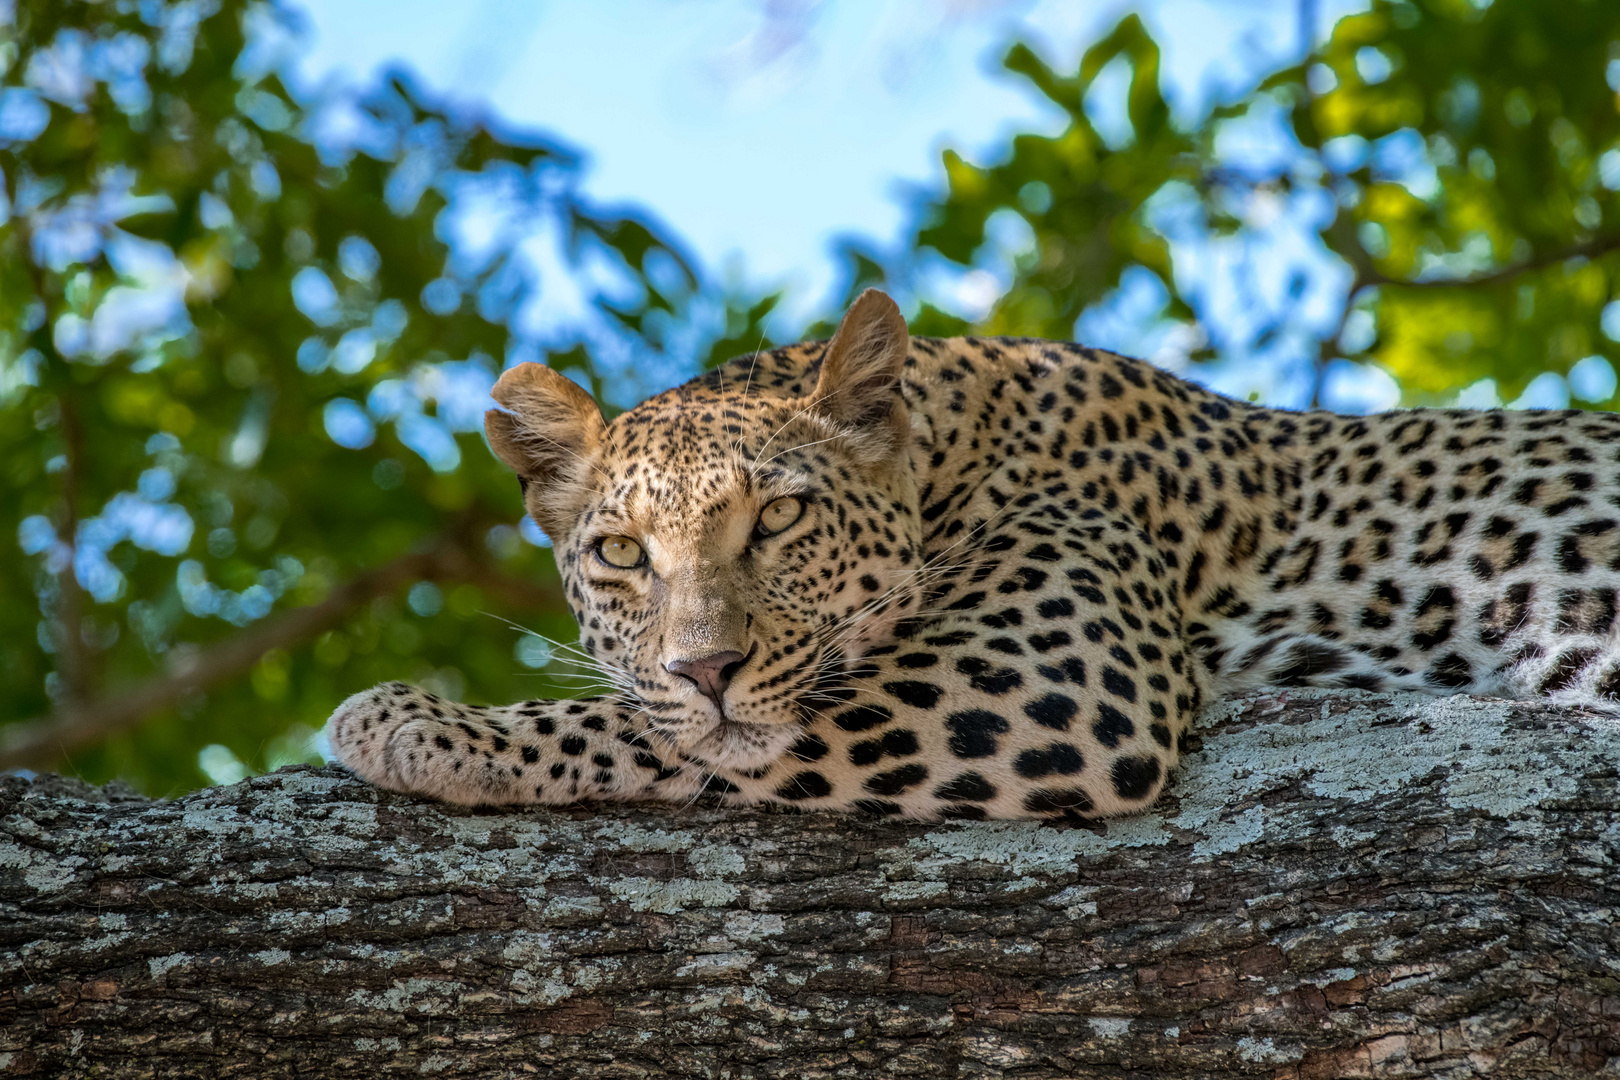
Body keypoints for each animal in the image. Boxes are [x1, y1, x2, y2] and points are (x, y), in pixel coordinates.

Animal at [322, 291, 1620, 822]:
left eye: (777, 522)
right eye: (622, 552)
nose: (706, 668)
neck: (955, 447)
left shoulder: (1060, 678)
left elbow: (650, 728)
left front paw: (421, 723)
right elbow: (664, 719)